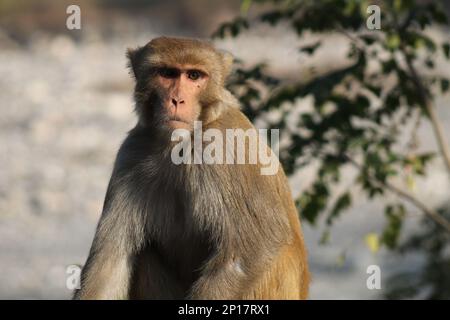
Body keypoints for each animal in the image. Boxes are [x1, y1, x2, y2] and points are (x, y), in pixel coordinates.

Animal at [73, 37, 310, 300]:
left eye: (194, 75)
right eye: (168, 73)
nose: (177, 100)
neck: (180, 144)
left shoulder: (223, 146)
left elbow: (254, 248)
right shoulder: (132, 152)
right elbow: (110, 263)